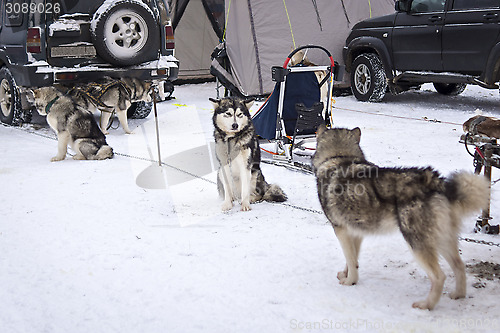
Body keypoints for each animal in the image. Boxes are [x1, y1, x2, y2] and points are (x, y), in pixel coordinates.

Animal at [312, 124, 488, 308]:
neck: (339, 157)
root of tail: (434, 182)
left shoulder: (341, 231)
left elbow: (351, 261)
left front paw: (349, 282)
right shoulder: (356, 232)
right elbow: (353, 259)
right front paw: (346, 274)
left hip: (416, 243)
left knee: (439, 276)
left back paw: (426, 305)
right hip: (442, 239)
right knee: (459, 265)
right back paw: (458, 295)